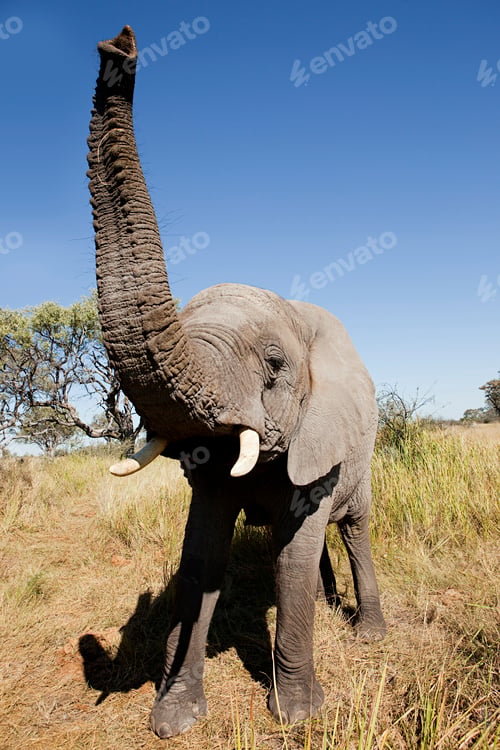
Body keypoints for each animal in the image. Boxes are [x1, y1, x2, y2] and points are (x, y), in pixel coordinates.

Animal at [87, 26, 386, 739]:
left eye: (275, 365)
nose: (120, 47)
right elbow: (201, 559)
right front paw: (173, 716)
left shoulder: (318, 442)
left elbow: (292, 563)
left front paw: (298, 714)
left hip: (362, 460)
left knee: (354, 528)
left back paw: (368, 631)